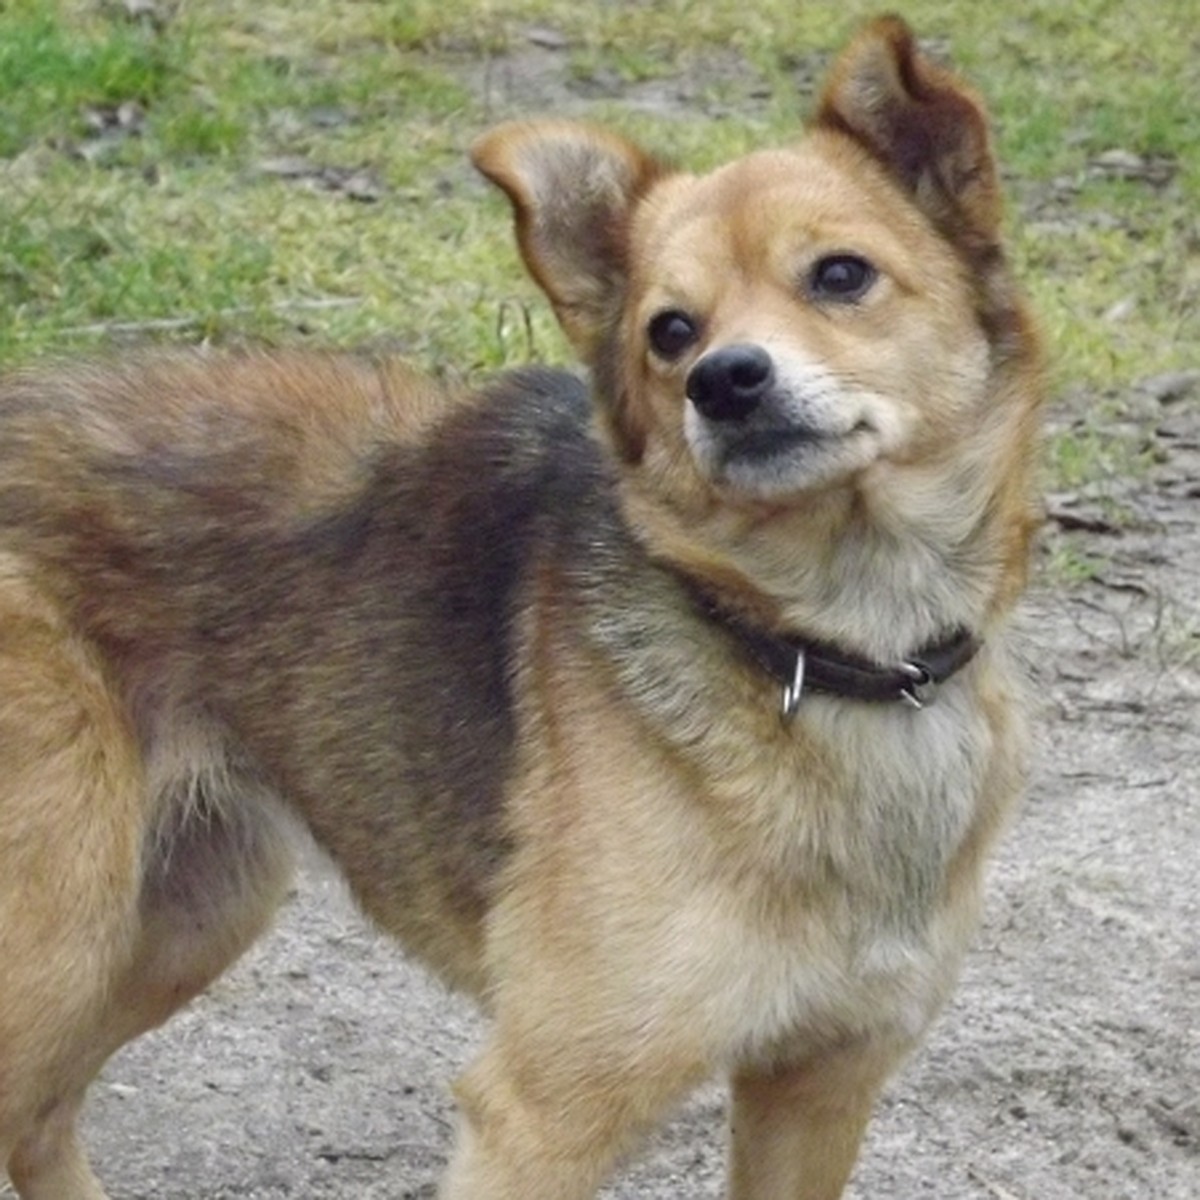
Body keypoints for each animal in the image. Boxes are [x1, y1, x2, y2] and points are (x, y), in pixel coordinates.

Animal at [0, 18, 1041, 1200]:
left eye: (841, 275)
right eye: (668, 332)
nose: (724, 381)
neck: (825, 649)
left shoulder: (819, 1083)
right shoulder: (543, 1115)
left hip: (184, 909)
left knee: (36, 1114)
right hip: (59, 931)